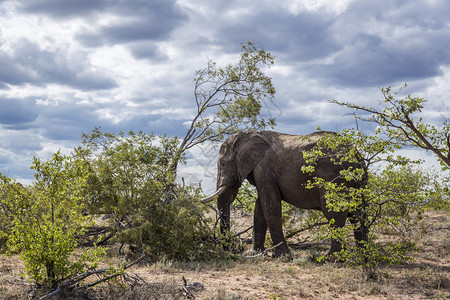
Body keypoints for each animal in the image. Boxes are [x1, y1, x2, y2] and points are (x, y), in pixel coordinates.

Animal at [202, 129, 368, 258]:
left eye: (223, 163)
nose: (235, 249)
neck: (250, 134)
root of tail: (356, 154)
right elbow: (260, 207)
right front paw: (254, 254)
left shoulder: (264, 168)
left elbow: (270, 205)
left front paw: (282, 256)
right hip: (358, 182)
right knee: (358, 214)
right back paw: (362, 256)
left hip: (335, 177)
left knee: (334, 212)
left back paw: (332, 258)